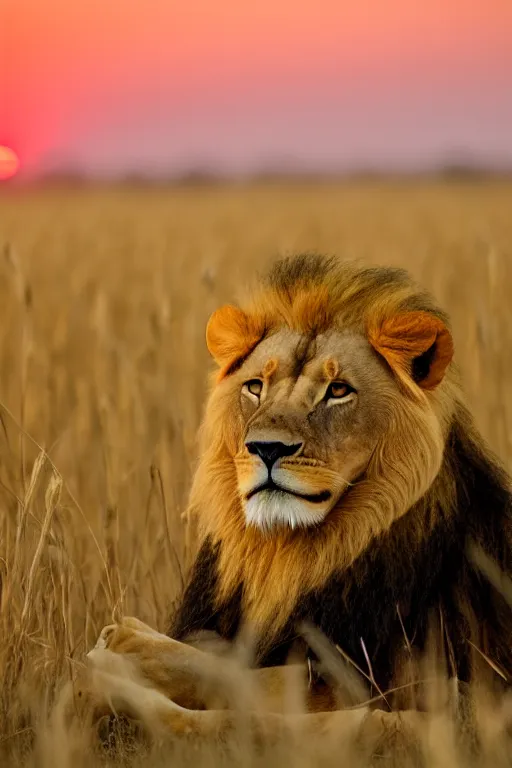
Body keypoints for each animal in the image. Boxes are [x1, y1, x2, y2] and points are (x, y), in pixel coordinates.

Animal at [82, 254, 510, 752]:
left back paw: (109, 681)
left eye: (338, 390)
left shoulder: (360, 674)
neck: (285, 559)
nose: (267, 448)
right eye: (255, 387)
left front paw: (121, 645)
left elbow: (241, 678)